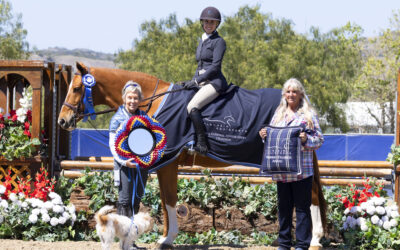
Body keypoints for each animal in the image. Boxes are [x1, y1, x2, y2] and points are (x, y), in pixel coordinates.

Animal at [58, 62, 324, 246]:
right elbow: (164, 201)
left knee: (309, 195)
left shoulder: (168, 161)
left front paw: (167, 240)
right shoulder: (165, 163)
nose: (62, 121)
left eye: (77, 88)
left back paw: (314, 239)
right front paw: (165, 237)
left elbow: (170, 199)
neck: (154, 104)